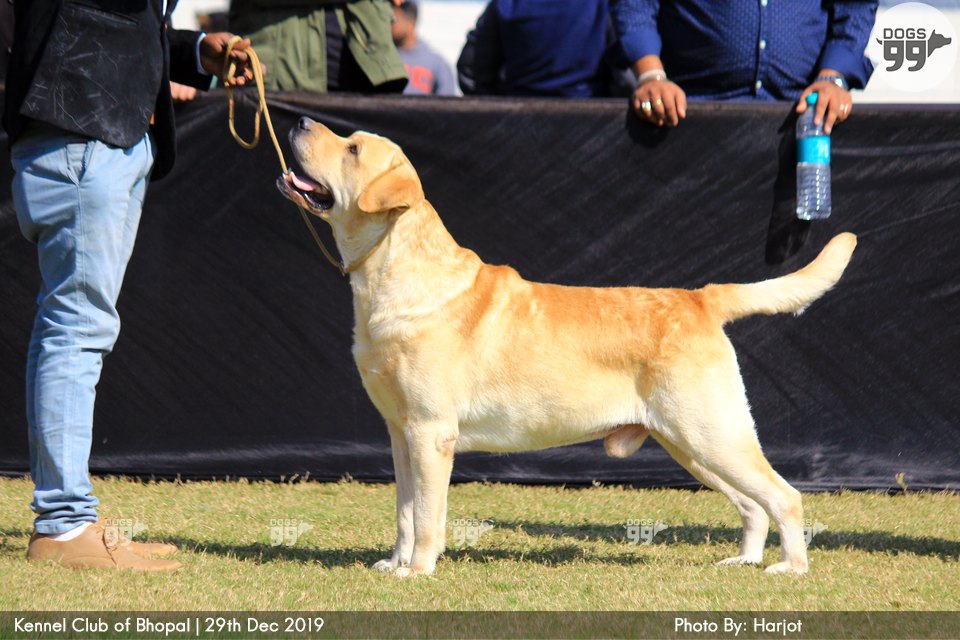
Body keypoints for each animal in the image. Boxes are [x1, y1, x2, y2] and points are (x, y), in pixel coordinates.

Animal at [277, 117, 857, 577]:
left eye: (353, 149)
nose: (300, 121)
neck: (391, 272)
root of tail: (699, 298)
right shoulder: (400, 433)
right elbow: (403, 511)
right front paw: (393, 564)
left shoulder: (430, 432)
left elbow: (425, 516)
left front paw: (417, 570)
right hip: (691, 443)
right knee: (753, 505)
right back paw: (743, 560)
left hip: (712, 433)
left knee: (785, 496)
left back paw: (789, 568)